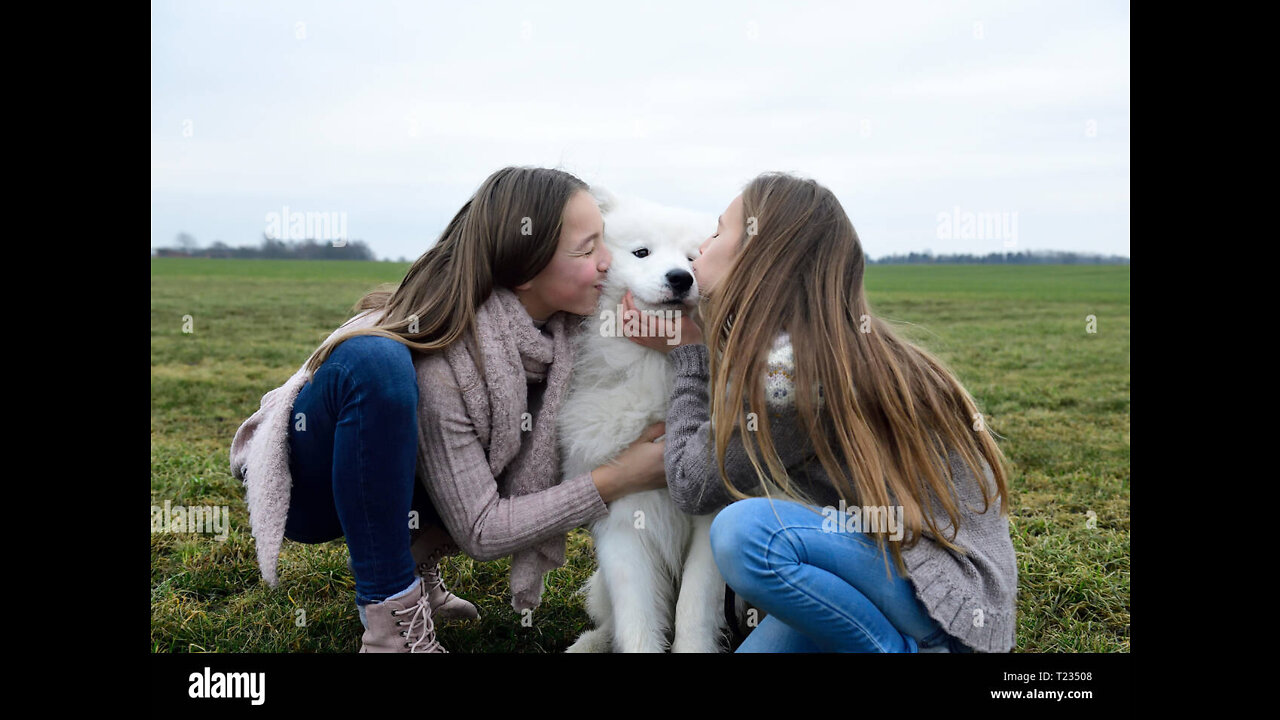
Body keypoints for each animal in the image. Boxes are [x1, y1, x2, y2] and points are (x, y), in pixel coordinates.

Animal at [563, 184, 732, 650]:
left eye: (693, 258)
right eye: (641, 252)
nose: (681, 278)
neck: (658, 370)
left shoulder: (709, 521)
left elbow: (693, 609)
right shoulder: (623, 521)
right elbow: (636, 618)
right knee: (609, 618)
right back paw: (589, 642)